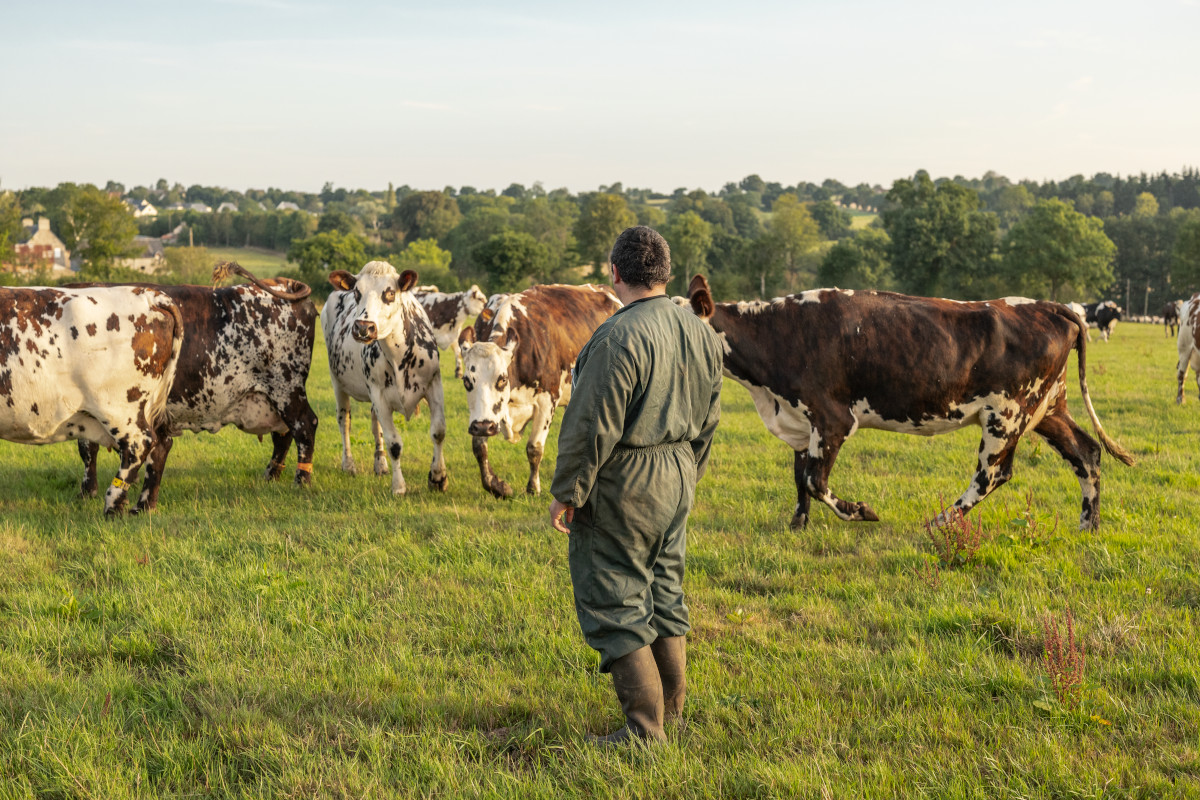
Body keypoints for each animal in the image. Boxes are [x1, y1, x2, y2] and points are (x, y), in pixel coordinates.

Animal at [0, 284, 184, 515]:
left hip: (118, 407)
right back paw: (142, 506)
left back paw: (113, 506)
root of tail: (147, 294)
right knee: (160, 446)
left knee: (140, 444)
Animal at [72, 262, 319, 513]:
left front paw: (88, 491)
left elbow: (89, 448)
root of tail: (284, 283)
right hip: (275, 398)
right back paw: (271, 475)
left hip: (287, 388)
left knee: (305, 426)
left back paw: (301, 480)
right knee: (284, 434)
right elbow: (91, 448)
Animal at [321, 261, 448, 494]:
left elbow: (438, 431)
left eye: (390, 292)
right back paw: (348, 464)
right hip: (337, 382)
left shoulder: (434, 384)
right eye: (357, 292)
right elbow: (394, 443)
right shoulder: (378, 395)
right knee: (344, 422)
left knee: (374, 425)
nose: (363, 327)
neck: (399, 357)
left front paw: (438, 477)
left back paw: (380, 464)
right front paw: (399, 486)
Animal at [456, 281, 619, 494]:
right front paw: (497, 486)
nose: (484, 426)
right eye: (467, 381)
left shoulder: (546, 401)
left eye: (502, 379)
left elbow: (534, 448)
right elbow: (479, 447)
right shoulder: (484, 416)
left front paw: (533, 488)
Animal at [686, 275, 1132, 532]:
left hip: (1006, 415)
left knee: (992, 475)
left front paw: (861, 511)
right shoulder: (801, 420)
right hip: (1048, 408)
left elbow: (814, 480)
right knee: (1087, 453)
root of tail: (1049, 306)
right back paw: (1088, 525)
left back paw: (938, 522)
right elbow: (800, 478)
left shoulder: (832, 418)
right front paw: (798, 524)